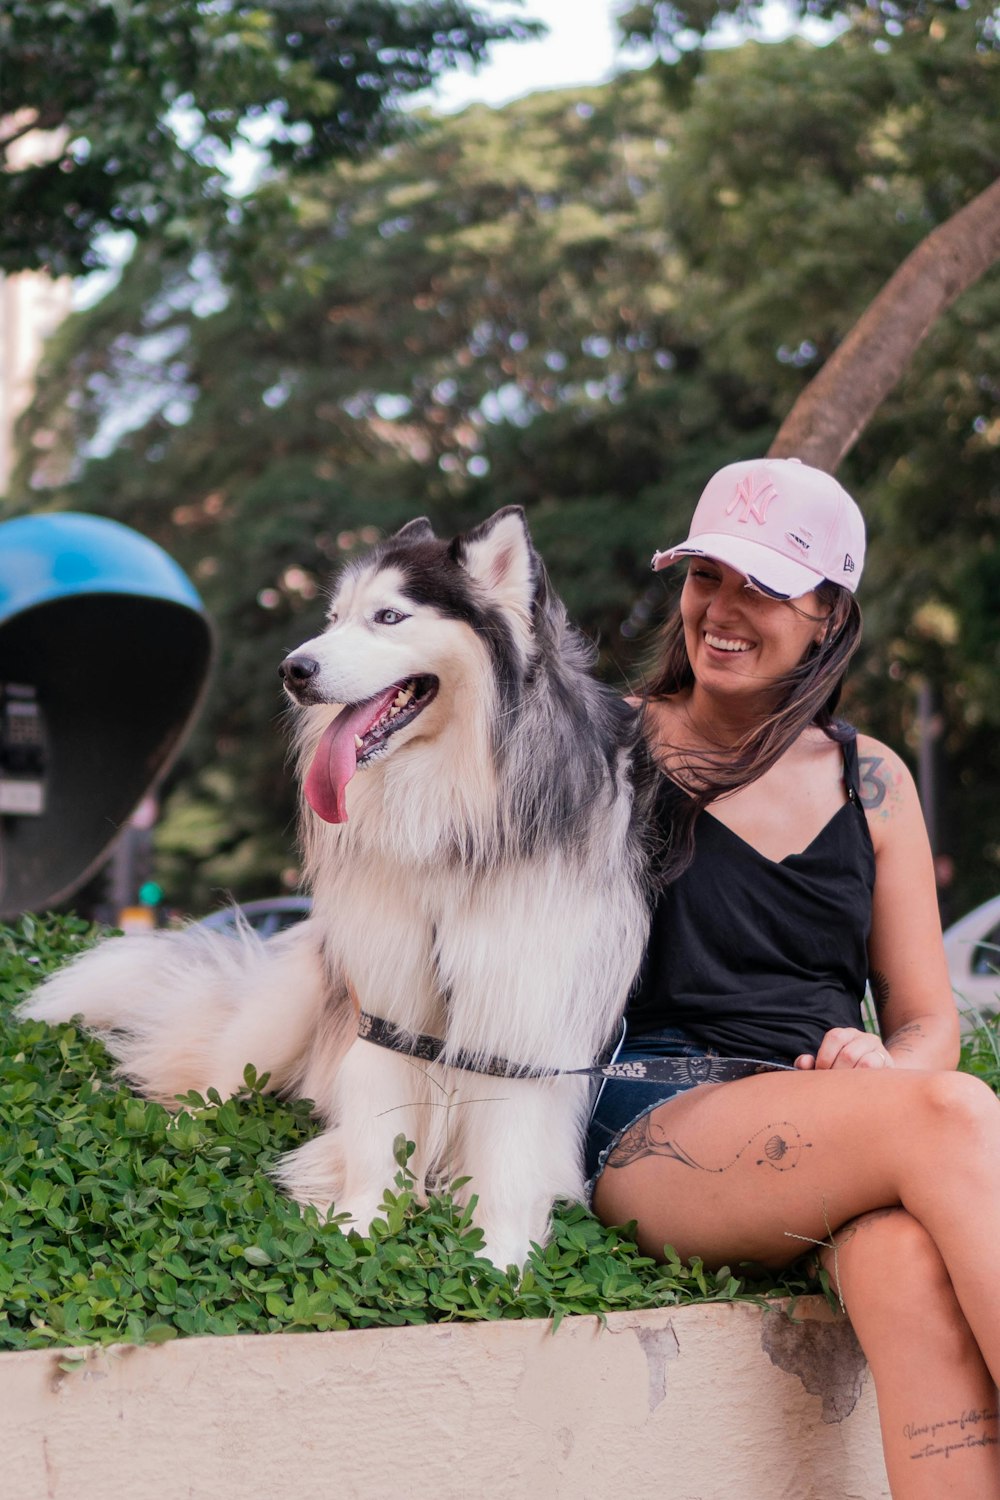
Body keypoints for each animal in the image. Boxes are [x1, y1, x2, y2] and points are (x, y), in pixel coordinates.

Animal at [23, 510, 653, 1272]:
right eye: (333, 619)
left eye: (389, 616)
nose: (293, 670)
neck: (449, 811)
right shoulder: (386, 1000)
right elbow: (378, 1132)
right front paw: (360, 1224)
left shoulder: (522, 1008)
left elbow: (506, 1153)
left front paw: (499, 1258)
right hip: (285, 1009)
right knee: (205, 1078)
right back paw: (179, 1123)